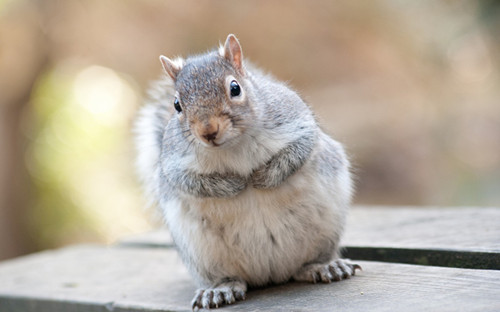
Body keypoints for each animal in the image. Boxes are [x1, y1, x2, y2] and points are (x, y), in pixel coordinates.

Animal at [133, 34, 360, 310]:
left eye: (235, 88)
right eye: (176, 105)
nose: (208, 131)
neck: (233, 145)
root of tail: (272, 273)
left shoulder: (297, 120)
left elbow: (299, 148)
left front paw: (263, 178)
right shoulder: (172, 161)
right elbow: (188, 181)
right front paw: (233, 185)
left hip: (326, 231)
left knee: (308, 263)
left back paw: (324, 266)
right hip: (202, 255)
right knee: (228, 277)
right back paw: (219, 289)